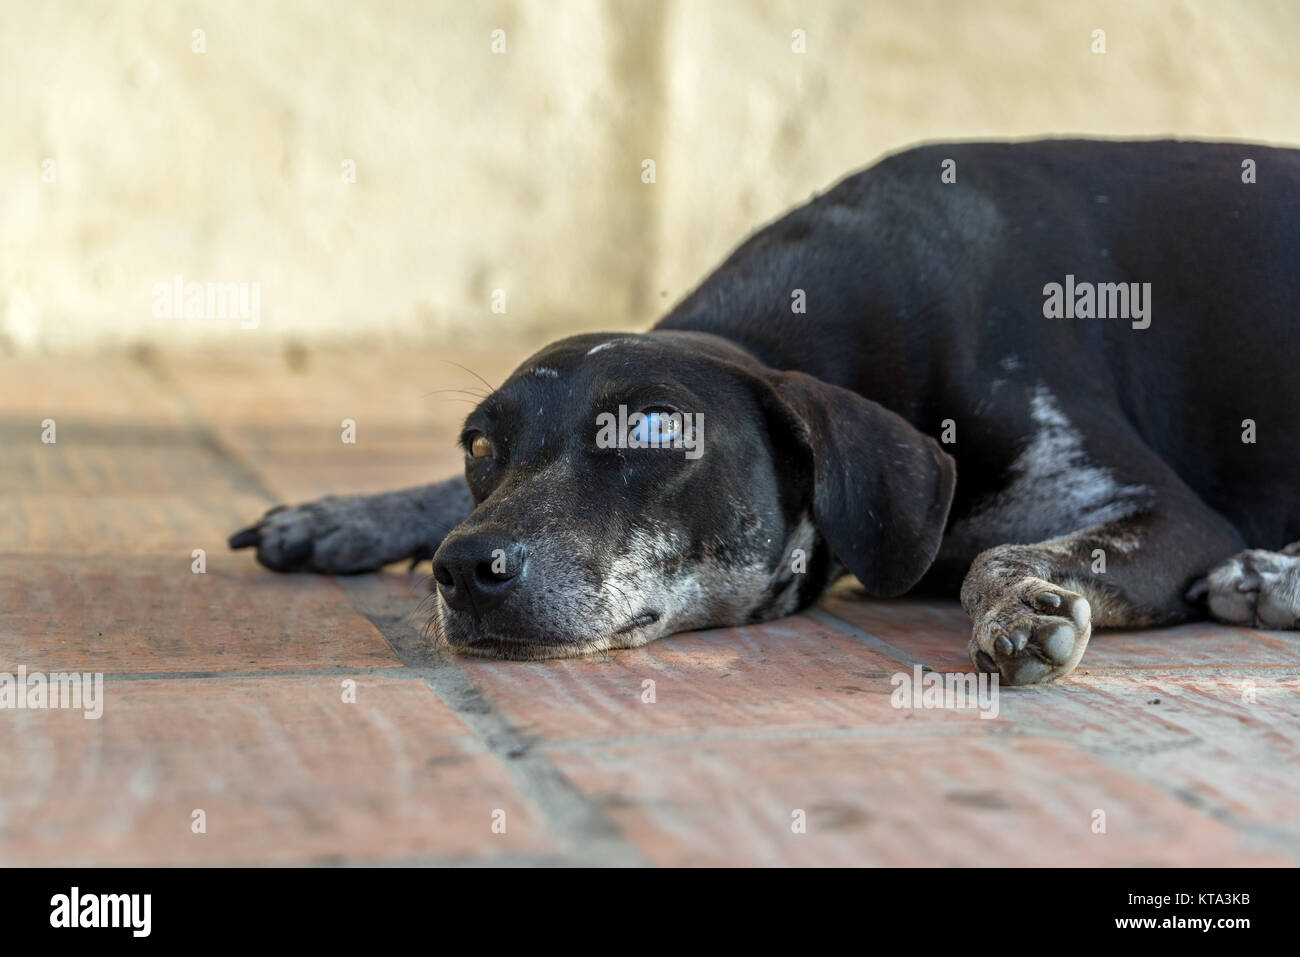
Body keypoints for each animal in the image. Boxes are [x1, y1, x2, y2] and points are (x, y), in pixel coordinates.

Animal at [228, 138, 1294, 686]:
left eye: (656, 430)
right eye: (478, 443)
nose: (462, 570)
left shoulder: (1173, 514)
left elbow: (1001, 554)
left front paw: (1019, 604)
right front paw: (352, 512)